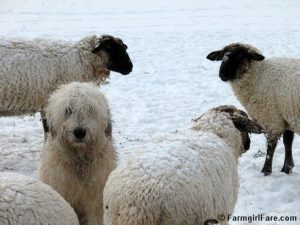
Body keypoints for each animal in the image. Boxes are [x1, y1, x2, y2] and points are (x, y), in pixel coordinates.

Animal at [206, 42, 300, 176]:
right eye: (223, 54)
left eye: (241, 56)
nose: (222, 74)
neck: (260, 76)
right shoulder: (284, 114)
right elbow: (288, 142)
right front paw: (287, 169)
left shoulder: (272, 118)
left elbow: (271, 147)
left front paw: (266, 171)